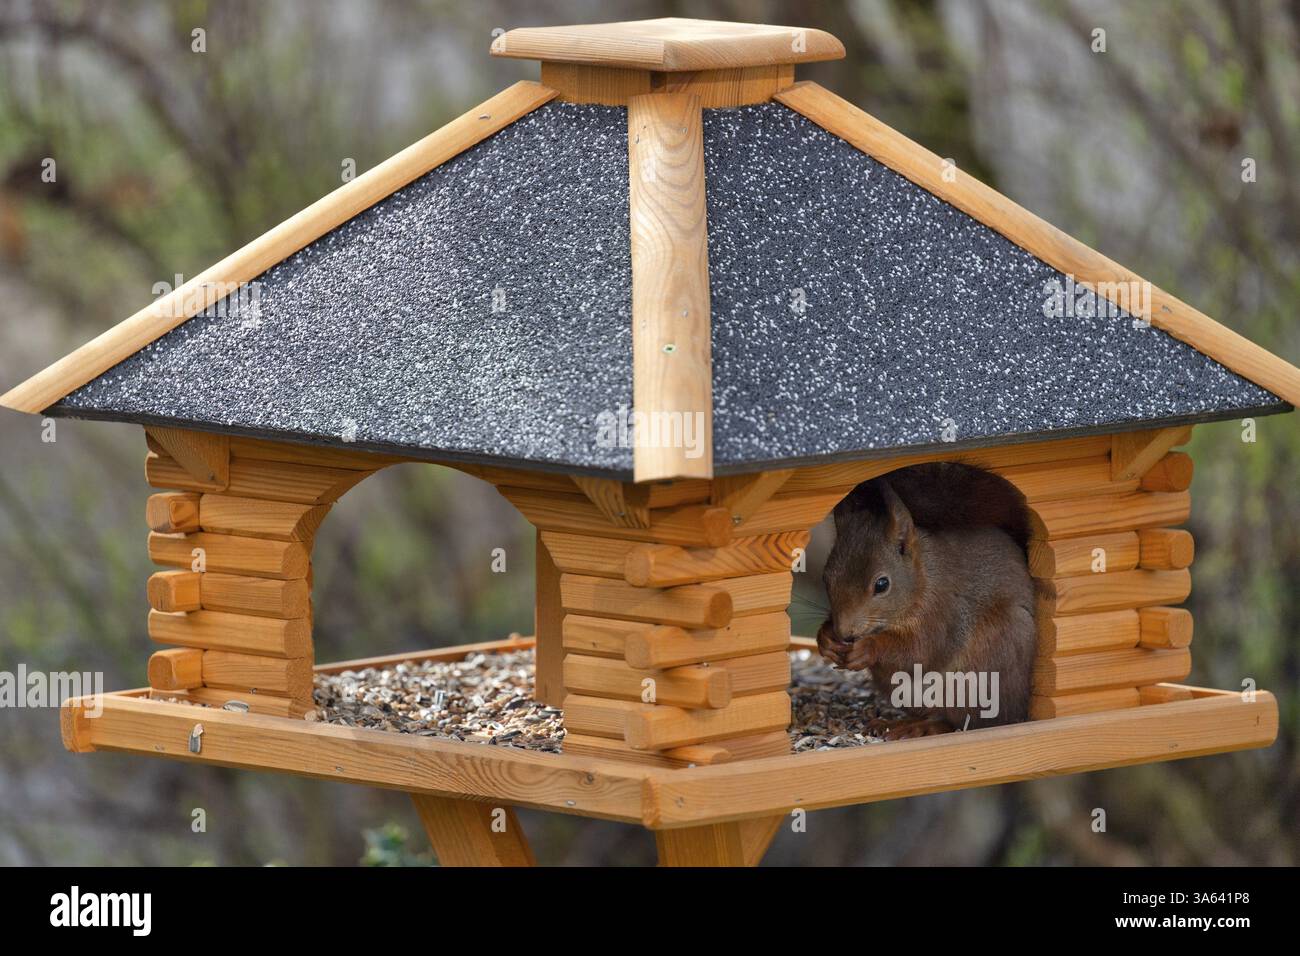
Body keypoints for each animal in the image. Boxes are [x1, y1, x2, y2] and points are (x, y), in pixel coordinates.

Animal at [816, 462, 1040, 739]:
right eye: (826, 577)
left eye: (882, 584)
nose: (844, 633)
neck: (923, 578)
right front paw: (825, 638)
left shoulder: (943, 609)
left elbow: (920, 649)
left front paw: (868, 647)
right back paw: (894, 723)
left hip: (985, 670)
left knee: (957, 720)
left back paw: (919, 727)